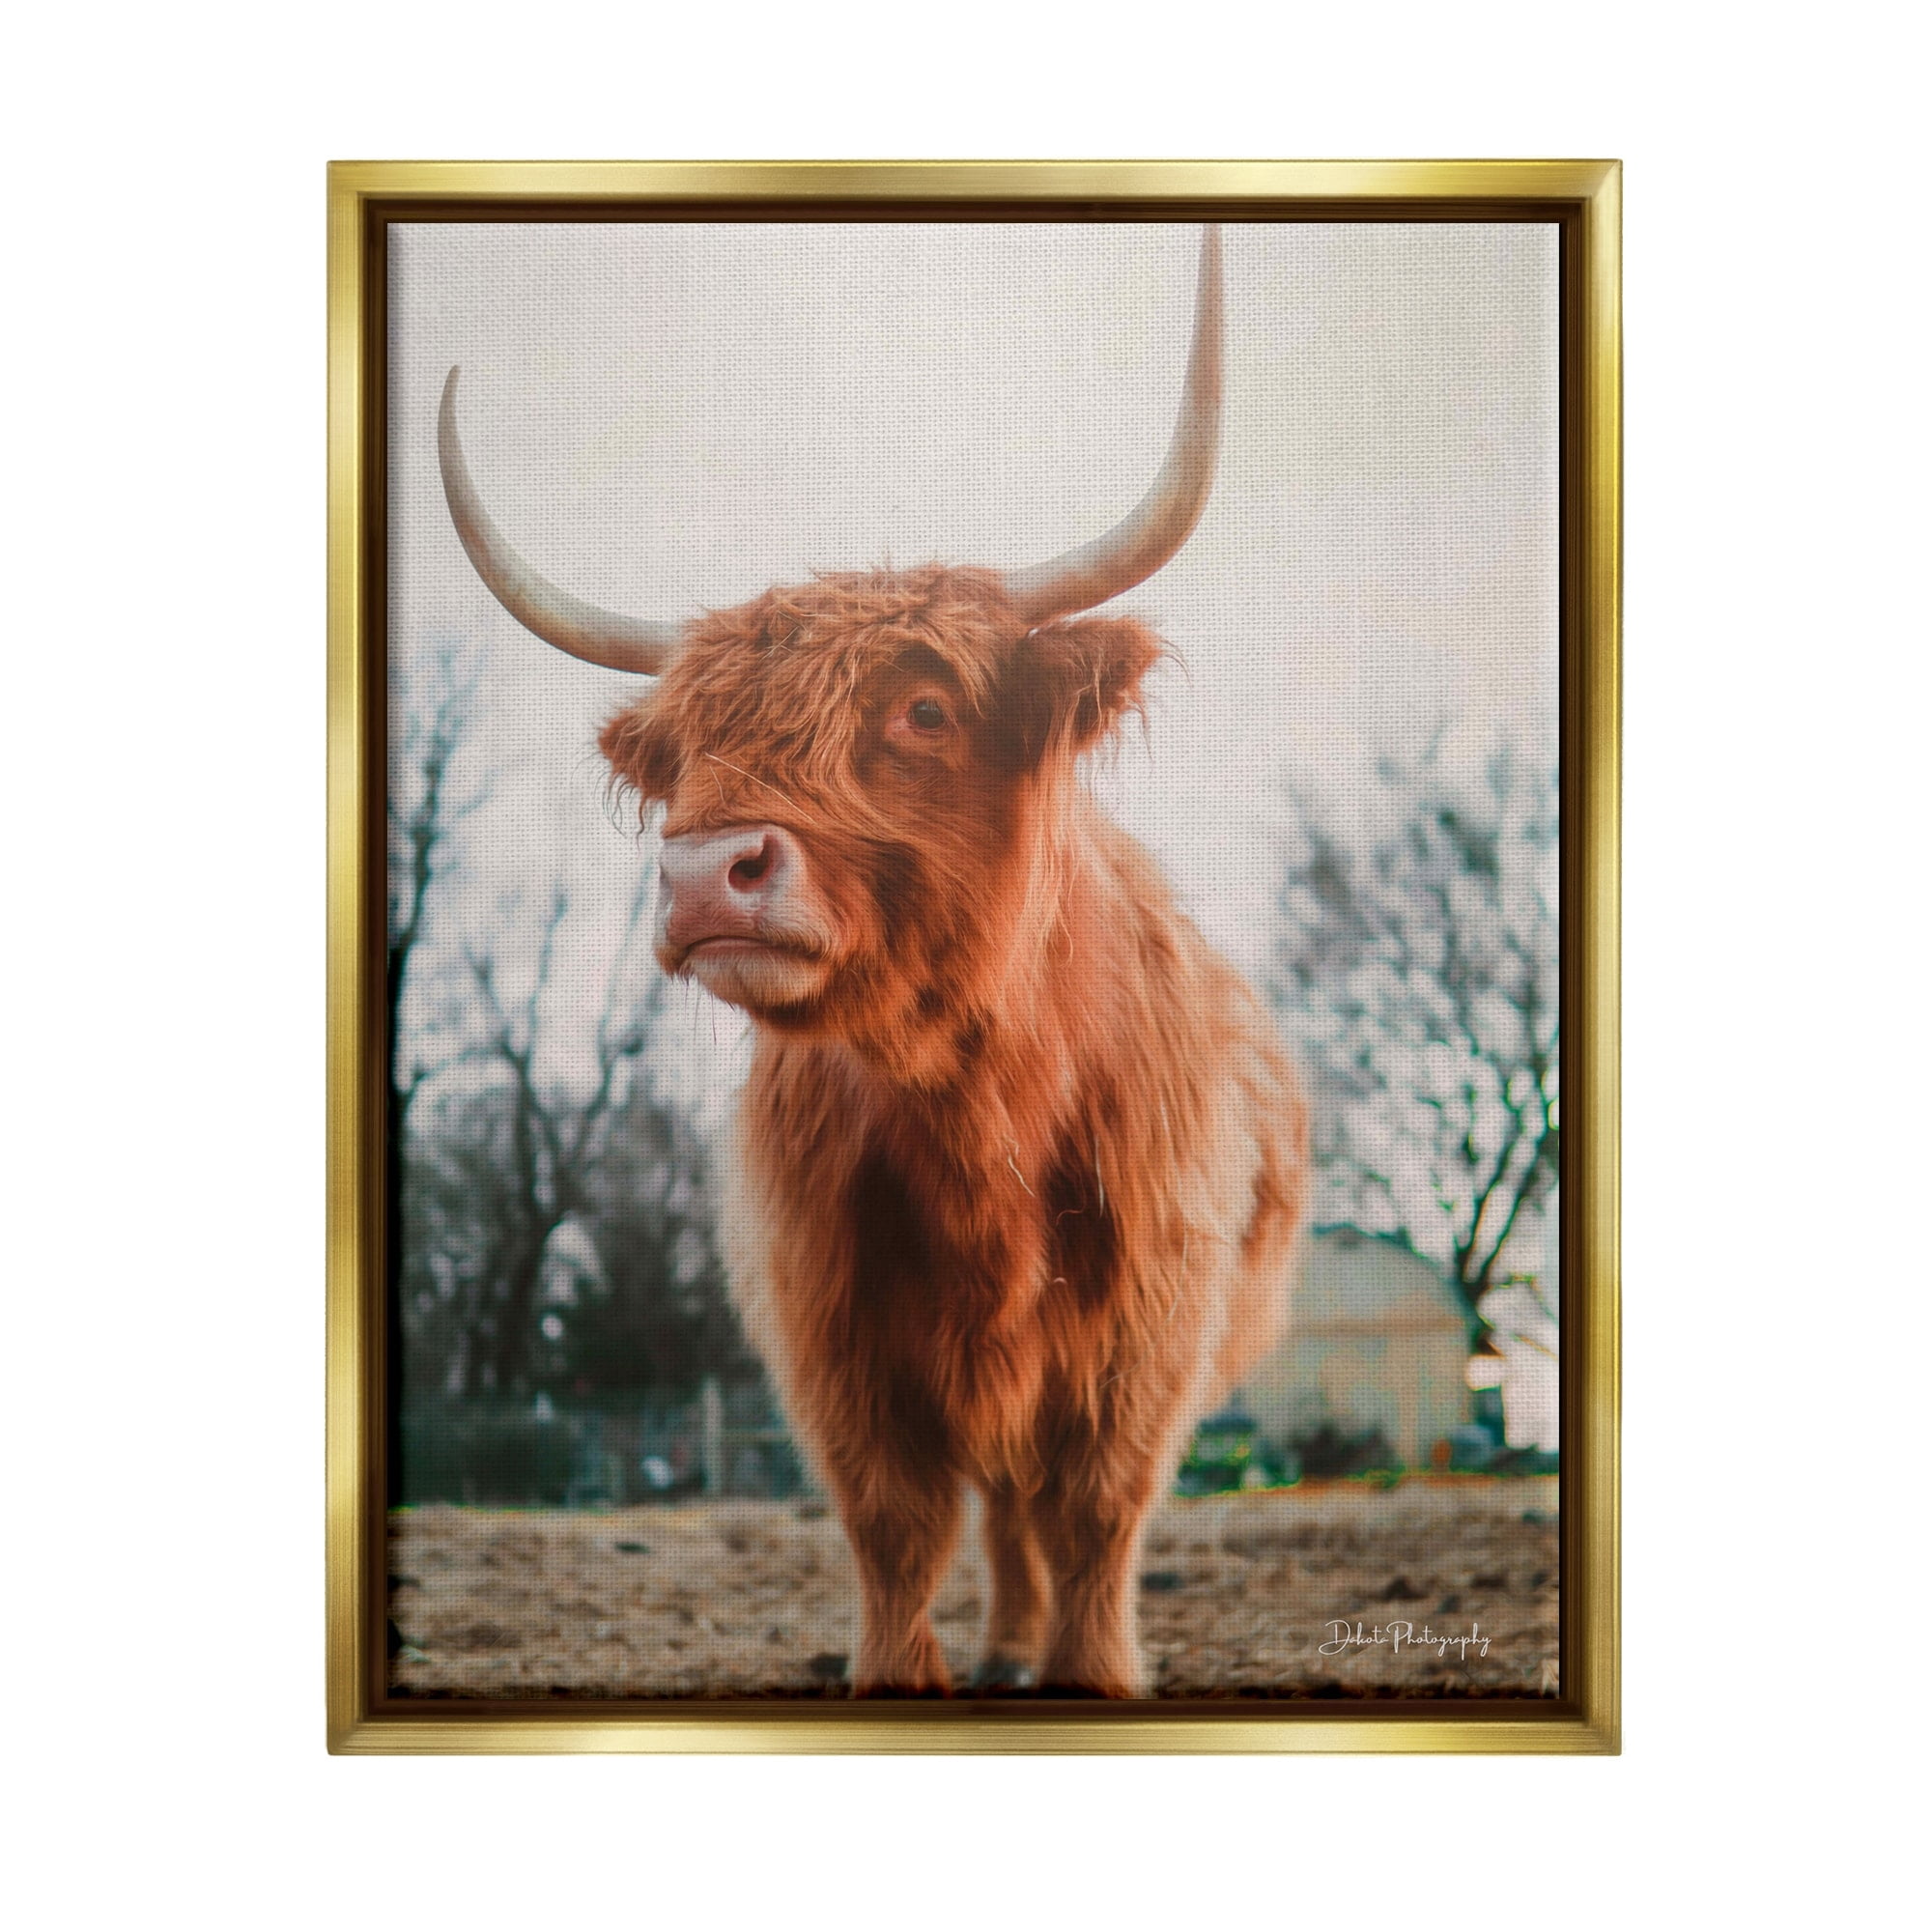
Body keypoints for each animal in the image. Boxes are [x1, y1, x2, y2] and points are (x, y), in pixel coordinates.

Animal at [436, 226, 1309, 1698]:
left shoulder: (1146, 1331)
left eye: (925, 708)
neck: (980, 1122)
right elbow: (895, 1521)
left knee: (1028, 1507)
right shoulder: (830, 1331)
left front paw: (1087, 1675)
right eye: (684, 746)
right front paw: (903, 1675)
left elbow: (1095, 1513)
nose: (701, 871)